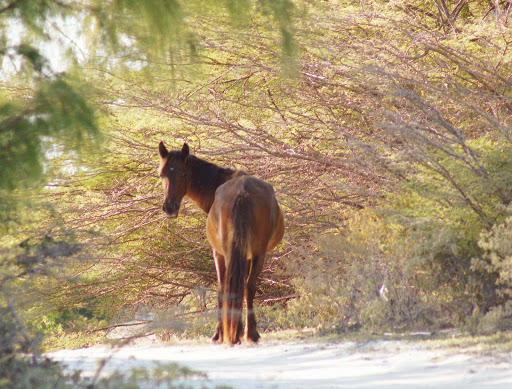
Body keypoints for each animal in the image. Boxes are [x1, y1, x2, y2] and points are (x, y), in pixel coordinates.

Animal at [158, 142, 284, 342]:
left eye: (183, 174)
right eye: (162, 174)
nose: (170, 207)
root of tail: (243, 192)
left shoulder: (218, 253)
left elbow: (220, 288)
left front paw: (219, 333)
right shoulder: (246, 255)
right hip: (256, 253)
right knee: (248, 286)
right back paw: (249, 333)